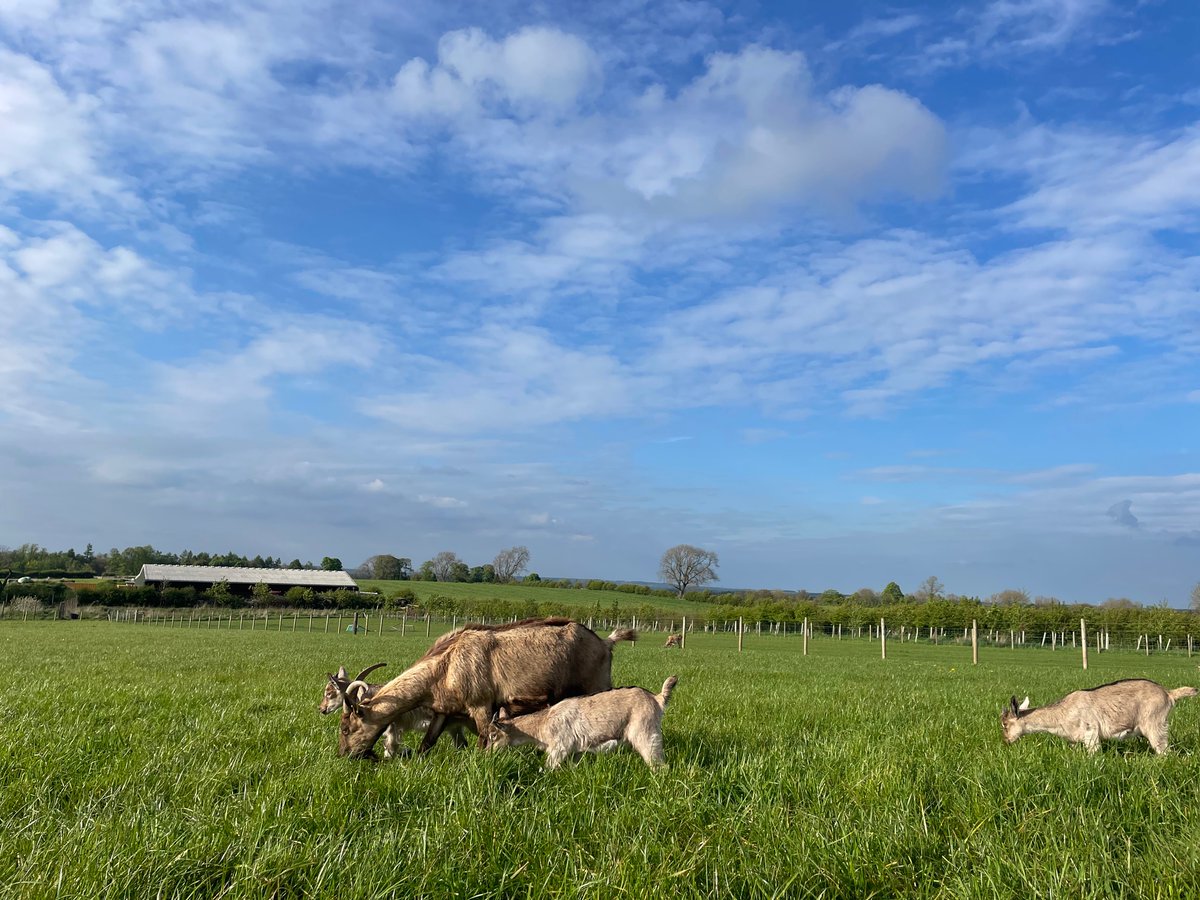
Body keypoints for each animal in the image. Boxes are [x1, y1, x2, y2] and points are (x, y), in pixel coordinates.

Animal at [337, 618, 637, 759]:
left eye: (346, 728)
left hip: (597, 685)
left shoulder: (481, 704)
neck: (445, 665)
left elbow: (484, 739)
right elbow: (427, 742)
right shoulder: (444, 710)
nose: (345, 755)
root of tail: (606, 643)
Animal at [490, 676, 678, 769]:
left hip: (645, 734)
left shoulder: (559, 747)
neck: (543, 723)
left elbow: (548, 767)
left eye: (493, 735)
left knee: (659, 764)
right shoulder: (576, 750)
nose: (487, 754)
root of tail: (656, 698)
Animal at [1000, 679, 1198, 754]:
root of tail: (1169, 694)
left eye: (1005, 724)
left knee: (1163, 749)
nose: (1006, 742)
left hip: (1154, 723)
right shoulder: (1073, 739)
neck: (1062, 713)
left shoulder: (1091, 733)